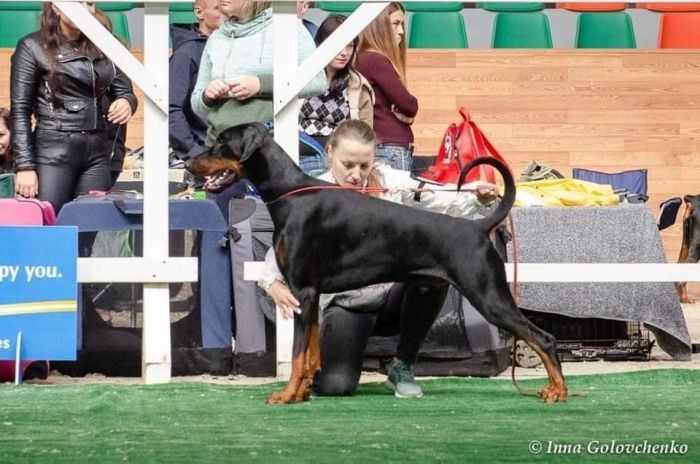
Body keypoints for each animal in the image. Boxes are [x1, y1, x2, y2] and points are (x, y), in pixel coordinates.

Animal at [189, 123, 568, 404]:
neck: (290, 195)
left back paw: (558, 391)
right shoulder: (312, 296)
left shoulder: (304, 291)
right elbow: (311, 353)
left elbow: (297, 355)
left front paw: (287, 395)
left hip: (488, 295)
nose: (190, 164)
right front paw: (302, 392)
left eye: (221, 144)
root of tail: (477, 226)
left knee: (544, 338)